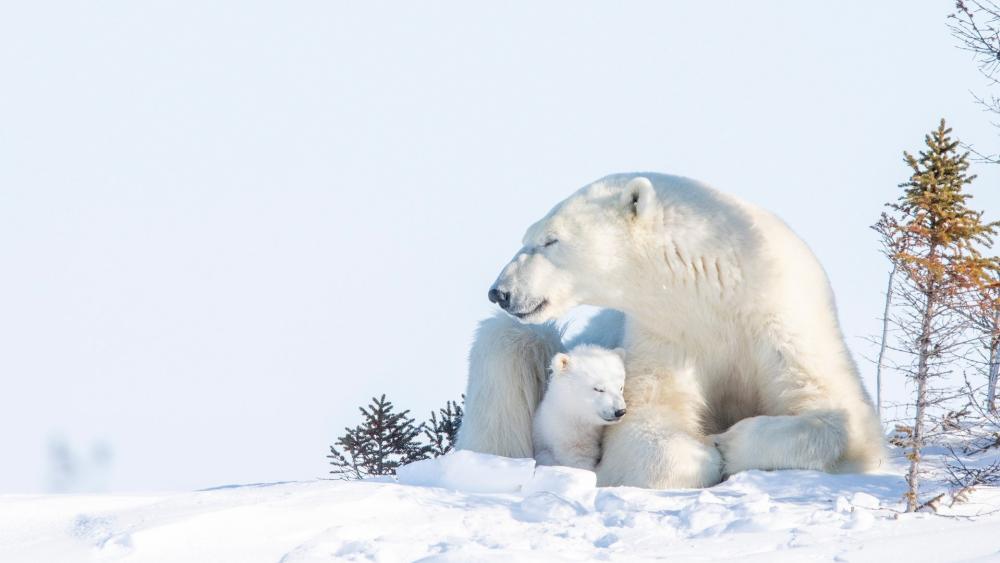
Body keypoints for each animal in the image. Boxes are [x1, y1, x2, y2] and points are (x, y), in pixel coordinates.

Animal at [455, 172, 885, 489]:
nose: (500, 291)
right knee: (507, 346)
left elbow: (836, 414)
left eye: (549, 240)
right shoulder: (669, 330)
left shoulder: (784, 319)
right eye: (528, 237)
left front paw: (730, 442)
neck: (719, 284)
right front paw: (707, 450)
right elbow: (647, 422)